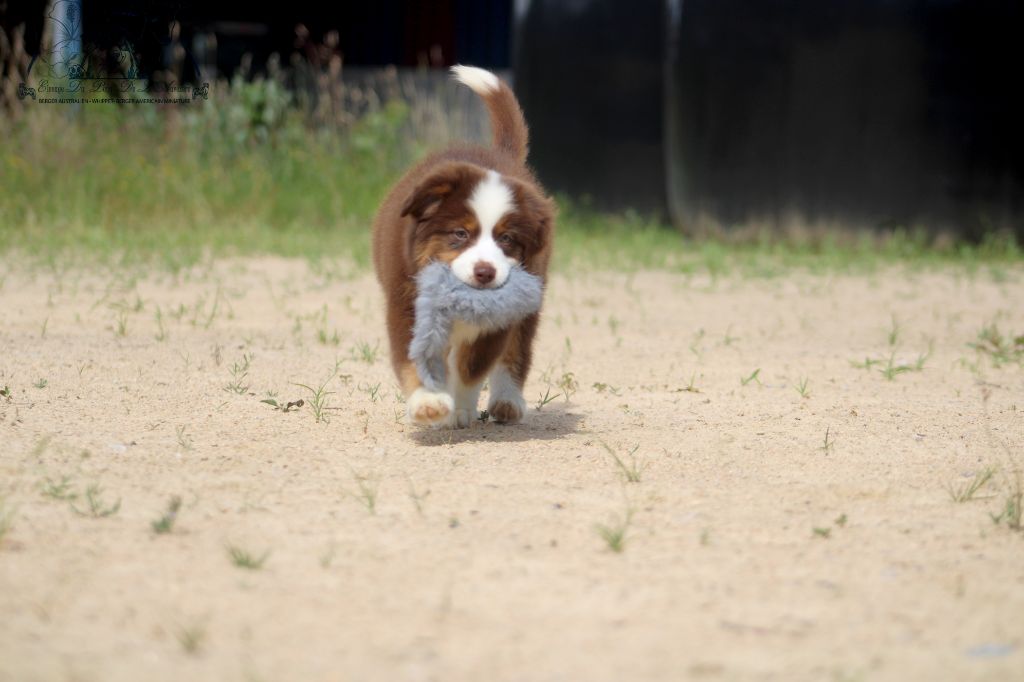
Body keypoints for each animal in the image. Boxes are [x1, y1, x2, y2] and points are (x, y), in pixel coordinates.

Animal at [372, 65, 555, 429]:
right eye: (459, 233)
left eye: (506, 239)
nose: (485, 272)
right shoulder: (406, 302)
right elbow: (416, 356)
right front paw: (428, 403)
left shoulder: (498, 322)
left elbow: (472, 366)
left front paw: (459, 409)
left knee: (517, 350)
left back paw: (507, 401)